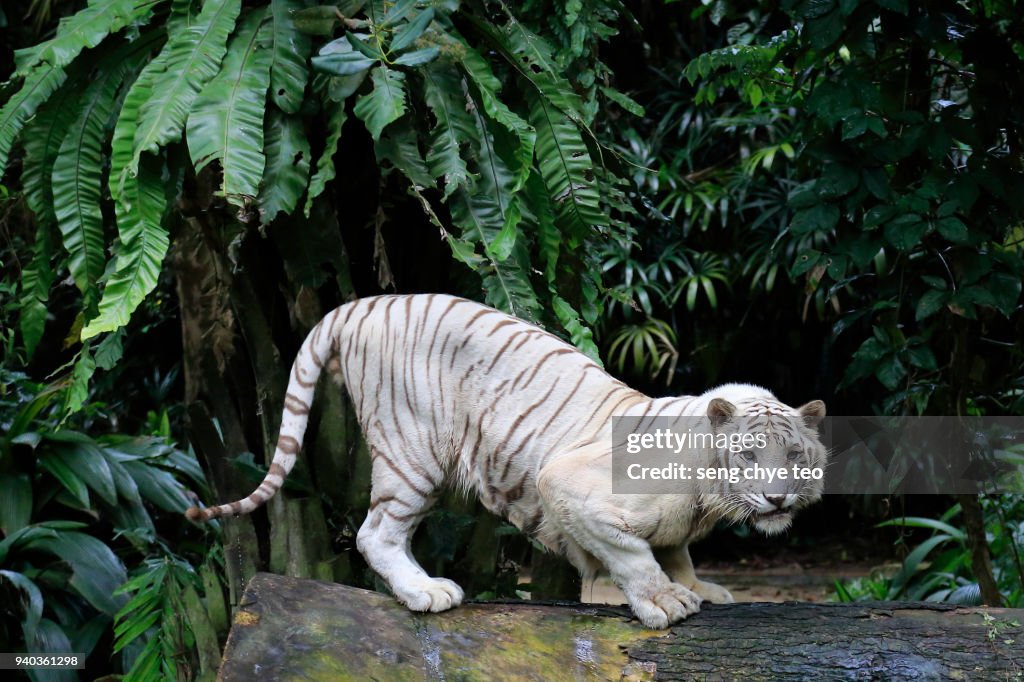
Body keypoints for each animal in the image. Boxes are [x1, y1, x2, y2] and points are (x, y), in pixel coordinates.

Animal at [185, 293, 827, 629]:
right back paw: (425, 592)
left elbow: (674, 552)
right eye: (748, 455)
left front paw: (698, 588)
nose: (777, 497)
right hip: (415, 454)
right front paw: (662, 601)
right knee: (375, 533)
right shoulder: (567, 484)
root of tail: (361, 304)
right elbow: (633, 556)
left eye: (794, 454)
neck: (706, 497)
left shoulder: (674, 529)